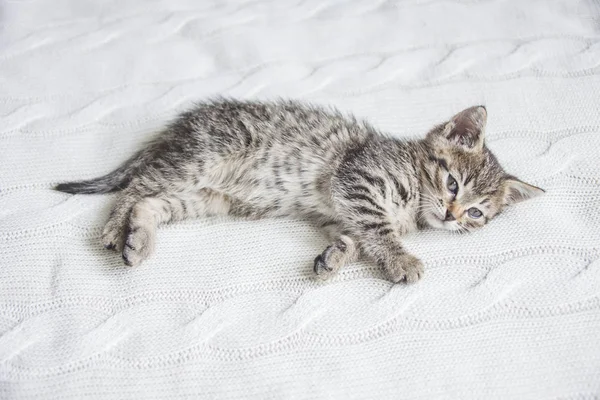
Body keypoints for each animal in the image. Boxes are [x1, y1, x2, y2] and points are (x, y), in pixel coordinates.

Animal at [55, 99, 544, 282]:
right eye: (452, 183)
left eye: (477, 214)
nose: (452, 216)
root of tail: (181, 125)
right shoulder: (358, 179)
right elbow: (379, 229)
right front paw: (402, 260)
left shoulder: (340, 211)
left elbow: (358, 237)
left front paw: (336, 256)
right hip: (201, 159)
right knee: (136, 184)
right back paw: (115, 228)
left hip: (206, 196)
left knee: (151, 201)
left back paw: (139, 237)